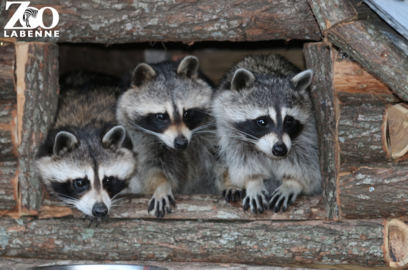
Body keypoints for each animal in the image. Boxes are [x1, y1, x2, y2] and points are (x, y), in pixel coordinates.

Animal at [116, 56, 222, 217]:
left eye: (187, 113)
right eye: (161, 116)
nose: (181, 143)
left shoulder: (209, 130)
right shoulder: (141, 140)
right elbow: (151, 167)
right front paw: (162, 185)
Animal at [214, 54, 322, 214]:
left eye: (289, 121)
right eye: (262, 121)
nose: (280, 150)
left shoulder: (309, 132)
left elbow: (306, 162)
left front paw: (292, 183)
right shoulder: (227, 131)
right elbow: (241, 161)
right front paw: (253, 182)